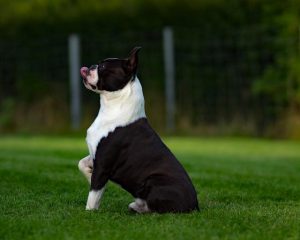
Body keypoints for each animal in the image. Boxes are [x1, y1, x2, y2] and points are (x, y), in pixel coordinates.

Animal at [78, 47, 198, 214]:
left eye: (102, 67)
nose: (90, 67)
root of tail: (195, 206)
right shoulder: (95, 155)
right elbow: (81, 163)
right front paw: (89, 176)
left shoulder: (103, 164)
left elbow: (93, 195)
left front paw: (89, 213)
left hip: (153, 181)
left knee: (160, 210)